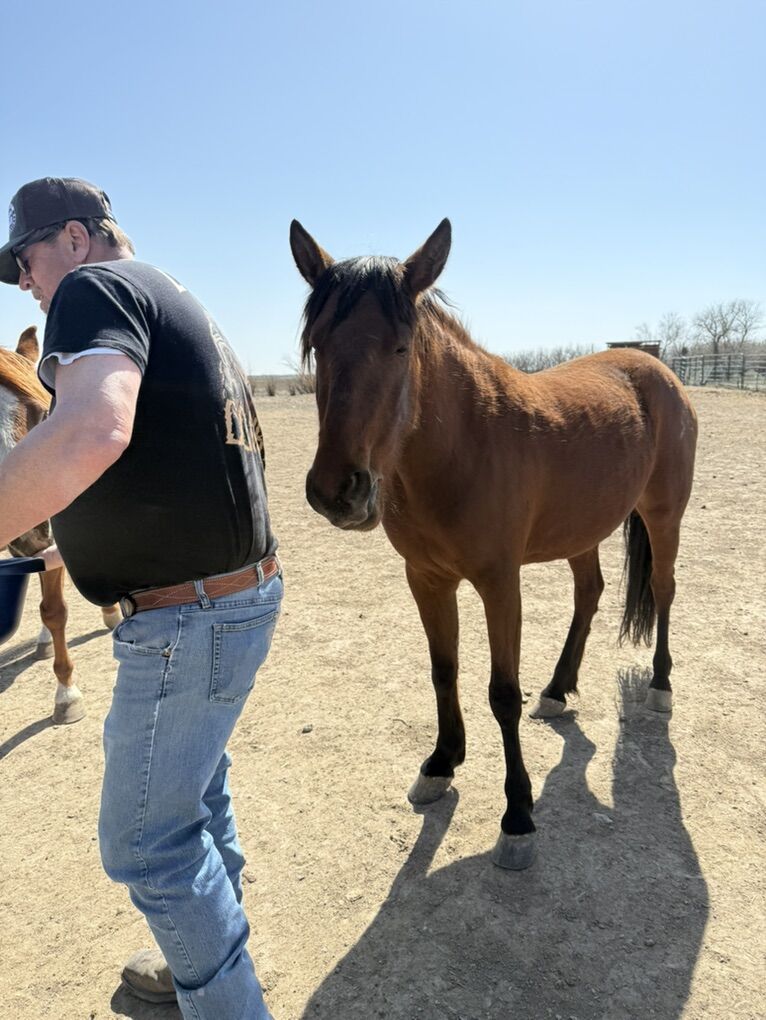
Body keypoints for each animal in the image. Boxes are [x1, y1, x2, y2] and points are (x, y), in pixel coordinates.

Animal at [290, 218, 698, 870]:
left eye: (400, 347)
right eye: (317, 345)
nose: (337, 492)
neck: (461, 447)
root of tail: (654, 368)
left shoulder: (500, 583)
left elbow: (502, 693)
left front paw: (518, 816)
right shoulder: (427, 579)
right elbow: (443, 670)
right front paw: (441, 763)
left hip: (664, 517)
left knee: (662, 590)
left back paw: (660, 685)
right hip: (581, 530)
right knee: (589, 593)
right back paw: (557, 690)